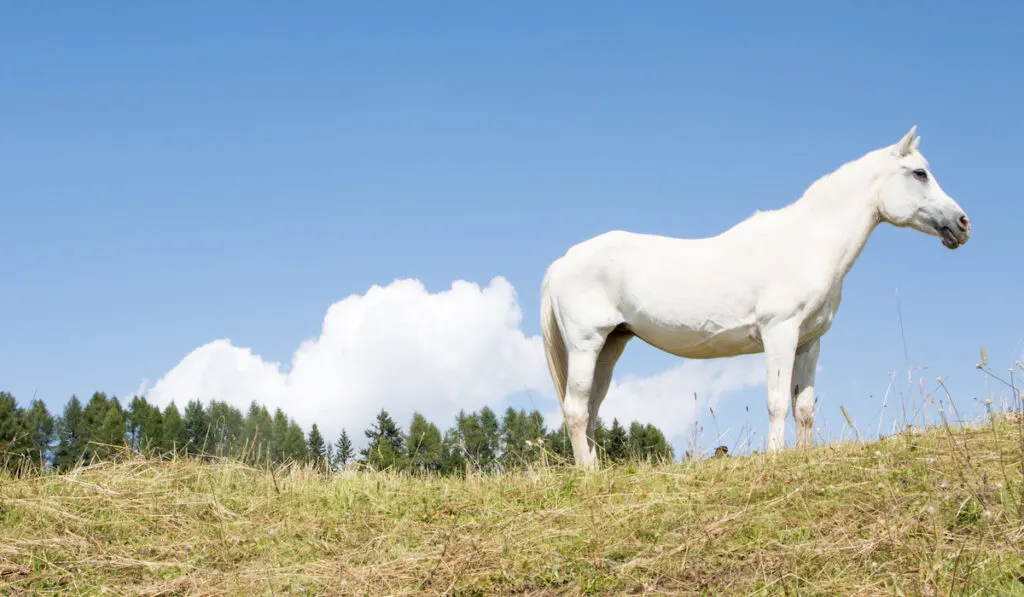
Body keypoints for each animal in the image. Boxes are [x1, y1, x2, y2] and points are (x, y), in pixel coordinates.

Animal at [540, 127, 970, 471]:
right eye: (919, 173)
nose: (962, 224)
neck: (808, 242)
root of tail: (561, 263)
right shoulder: (779, 332)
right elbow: (777, 401)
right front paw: (776, 456)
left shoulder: (809, 342)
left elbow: (804, 408)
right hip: (586, 344)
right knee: (576, 409)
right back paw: (588, 475)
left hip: (612, 345)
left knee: (591, 410)